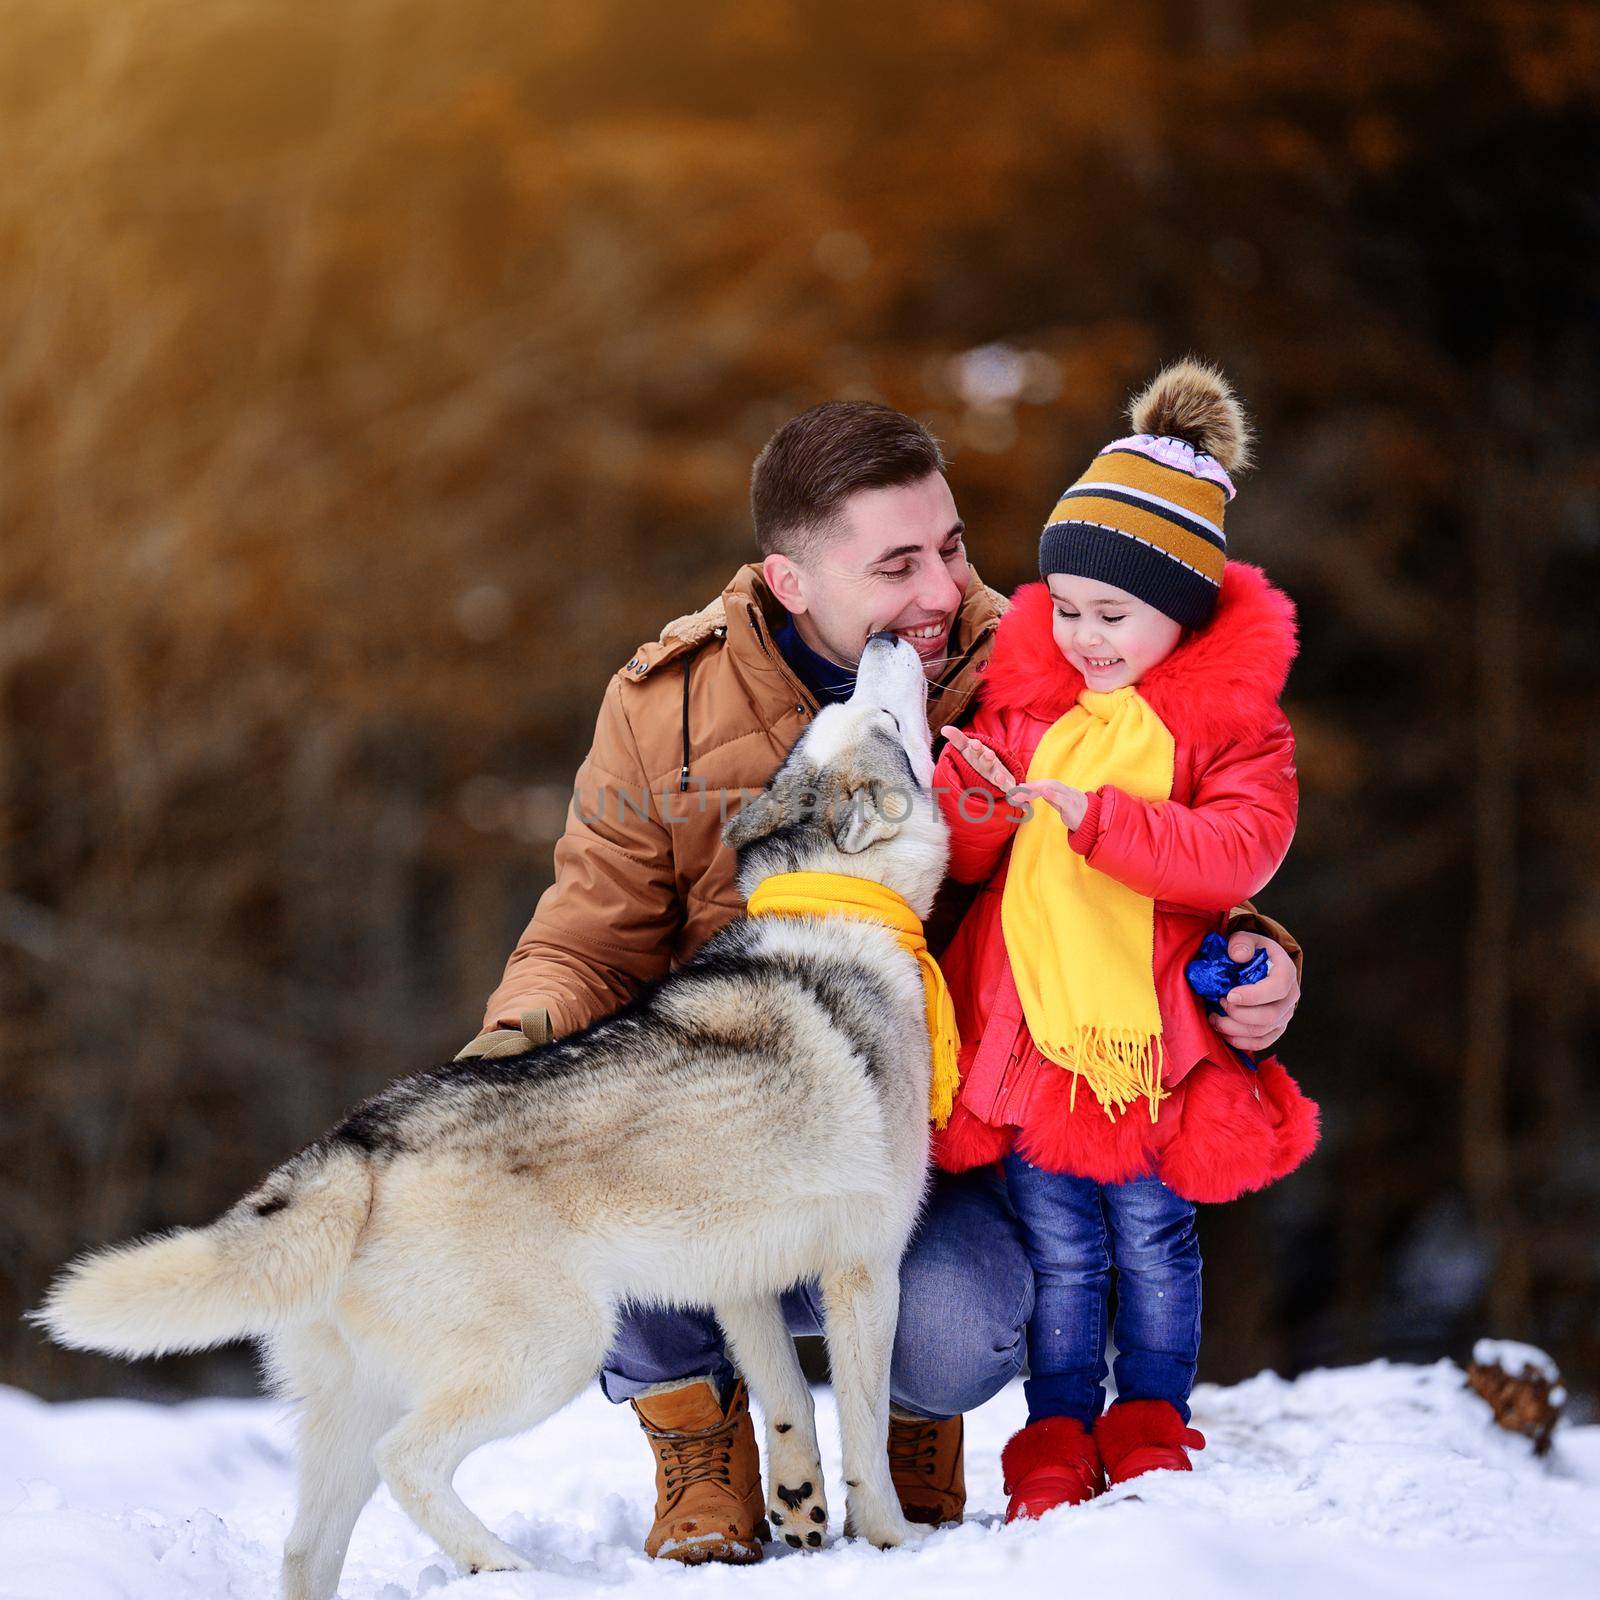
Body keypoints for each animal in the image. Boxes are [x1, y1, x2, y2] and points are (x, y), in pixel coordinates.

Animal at [34, 633, 947, 1600]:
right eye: (890, 724)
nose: (887, 639)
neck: (844, 908)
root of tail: (355, 1141)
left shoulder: (741, 1284)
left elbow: (788, 1410)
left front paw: (802, 1513)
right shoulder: (865, 1273)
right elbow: (865, 1438)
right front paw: (893, 1543)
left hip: (359, 1410)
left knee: (306, 1548)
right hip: (559, 1348)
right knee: (411, 1462)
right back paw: (505, 1566)